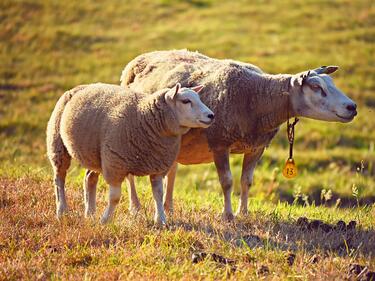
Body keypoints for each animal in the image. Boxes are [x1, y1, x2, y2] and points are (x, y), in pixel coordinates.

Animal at [46, 81, 214, 223]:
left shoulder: (158, 166)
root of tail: (80, 87)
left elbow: (158, 194)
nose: (211, 115)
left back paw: (90, 213)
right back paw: (62, 211)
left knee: (89, 179)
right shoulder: (115, 164)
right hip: (57, 144)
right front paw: (105, 221)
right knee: (59, 179)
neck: (144, 116)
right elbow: (115, 198)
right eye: (186, 101)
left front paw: (161, 220)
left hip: (95, 154)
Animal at [120, 49, 358, 220]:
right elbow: (227, 182)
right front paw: (228, 215)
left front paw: (243, 212)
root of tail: (140, 57)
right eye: (317, 87)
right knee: (131, 174)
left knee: (171, 171)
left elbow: (246, 181)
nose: (352, 107)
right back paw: (135, 207)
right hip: (132, 132)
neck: (257, 97)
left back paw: (168, 207)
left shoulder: (256, 147)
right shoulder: (219, 142)